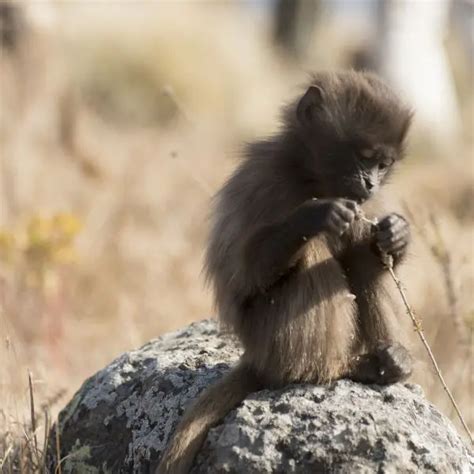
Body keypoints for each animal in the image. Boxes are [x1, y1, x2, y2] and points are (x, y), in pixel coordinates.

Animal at [157, 70, 412, 474]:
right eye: (364, 157)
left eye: (383, 165)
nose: (370, 184)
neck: (310, 176)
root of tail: (255, 358)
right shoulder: (263, 181)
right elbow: (245, 274)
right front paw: (317, 214)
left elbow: (372, 245)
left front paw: (397, 234)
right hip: (268, 338)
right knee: (311, 254)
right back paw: (339, 368)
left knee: (364, 261)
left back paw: (391, 361)